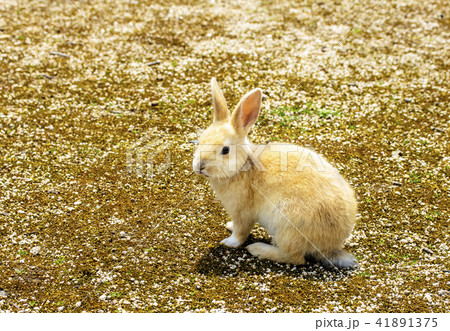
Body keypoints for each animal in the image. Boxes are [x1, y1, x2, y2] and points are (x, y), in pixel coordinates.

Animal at [193, 78, 358, 270]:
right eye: (201, 140)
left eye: (225, 150)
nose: (200, 166)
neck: (243, 166)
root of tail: (331, 244)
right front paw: (229, 226)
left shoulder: (242, 212)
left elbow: (241, 232)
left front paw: (229, 242)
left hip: (288, 227)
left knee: (295, 258)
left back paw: (258, 249)